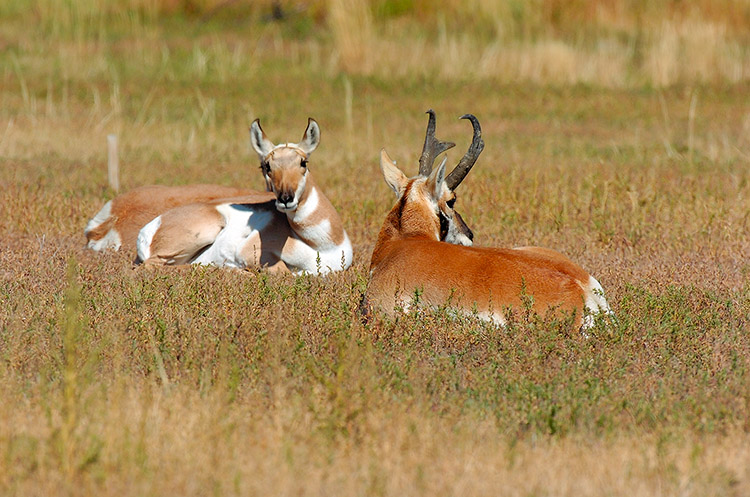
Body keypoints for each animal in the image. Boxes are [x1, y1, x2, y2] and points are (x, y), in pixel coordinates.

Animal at [136, 117, 356, 274]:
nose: (285, 199)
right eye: (266, 166)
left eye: (303, 162)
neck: (320, 245)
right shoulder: (248, 252)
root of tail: (150, 227)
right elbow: (284, 271)